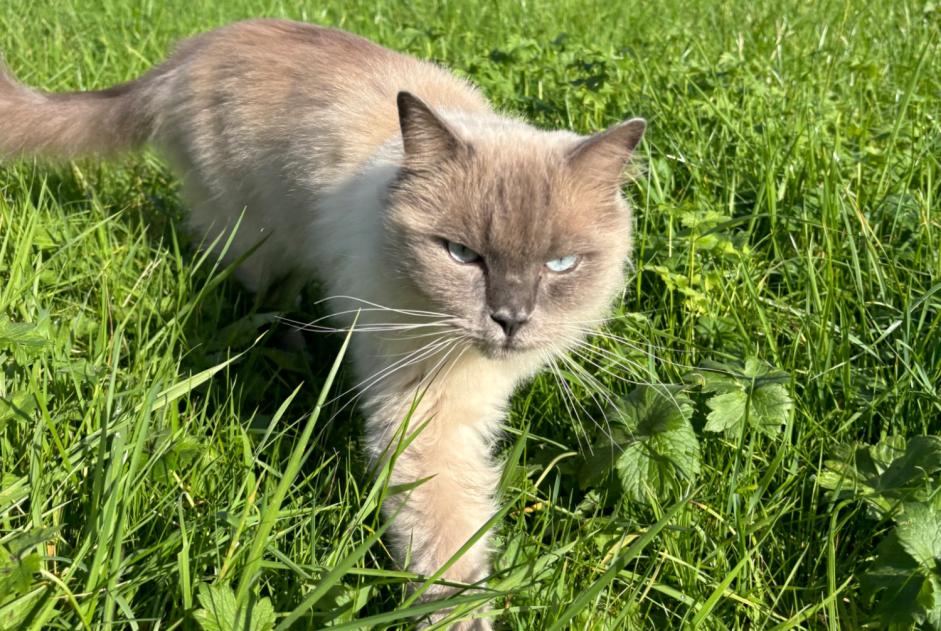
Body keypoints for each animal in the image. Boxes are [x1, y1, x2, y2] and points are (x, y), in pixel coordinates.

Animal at [0, 17, 644, 628]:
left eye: (560, 264)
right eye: (463, 255)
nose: (510, 319)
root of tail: (188, 52)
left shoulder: (467, 409)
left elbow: (466, 524)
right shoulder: (423, 411)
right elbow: (445, 543)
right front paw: (456, 619)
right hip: (260, 241)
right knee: (265, 303)